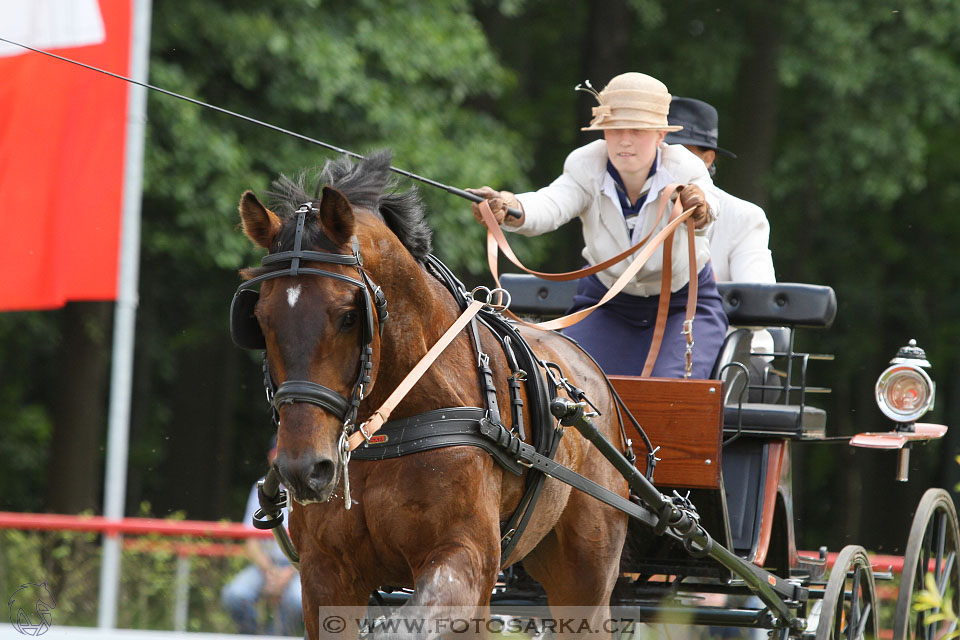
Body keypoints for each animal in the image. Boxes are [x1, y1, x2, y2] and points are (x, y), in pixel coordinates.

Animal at [235, 152, 632, 636]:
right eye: (259, 319)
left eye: (349, 316)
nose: (304, 470)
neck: (397, 425)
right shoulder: (325, 575)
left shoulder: (464, 556)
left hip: (584, 577)